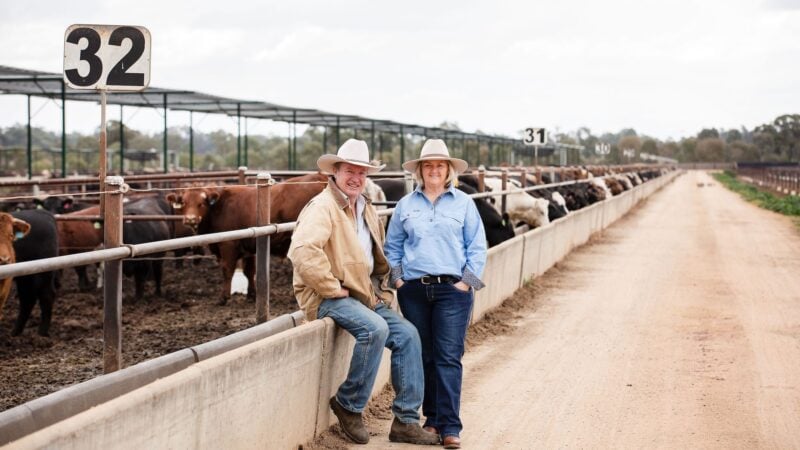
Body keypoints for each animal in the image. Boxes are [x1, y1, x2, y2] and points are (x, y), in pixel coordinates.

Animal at [167, 174, 330, 304]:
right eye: (184, 203)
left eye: (201, 203)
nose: (190, 219)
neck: (219, 207)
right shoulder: (249, 247)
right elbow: (249, 271)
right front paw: (252, 295)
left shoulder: (228, 245)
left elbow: (227, 270)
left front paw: (223, 297)